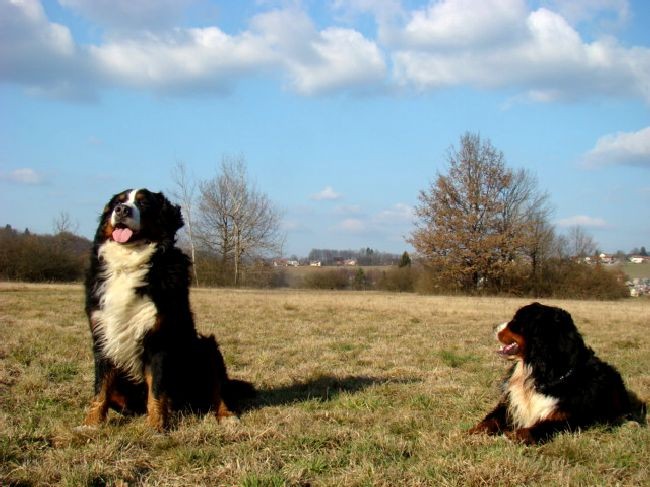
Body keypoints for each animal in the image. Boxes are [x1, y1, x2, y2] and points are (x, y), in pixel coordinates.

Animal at [81, 189, 253, 432]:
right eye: (118, 202)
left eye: (143, 203)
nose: (121, 210)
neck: (130, 263)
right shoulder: (102, 337)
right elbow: (100, 389)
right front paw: (91, 424)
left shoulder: (159, 340)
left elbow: (157, 389)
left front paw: (156, 426)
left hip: (206, 349)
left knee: (217, 391)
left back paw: (226, 415)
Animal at [470, 304, 644, 444]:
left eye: (516, 322)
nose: (493, 326)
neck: (543, 373)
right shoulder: (510, 404)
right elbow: (491, 419)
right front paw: (474, 431)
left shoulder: (567, 418)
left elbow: (540, 427)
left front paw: (513, 435)